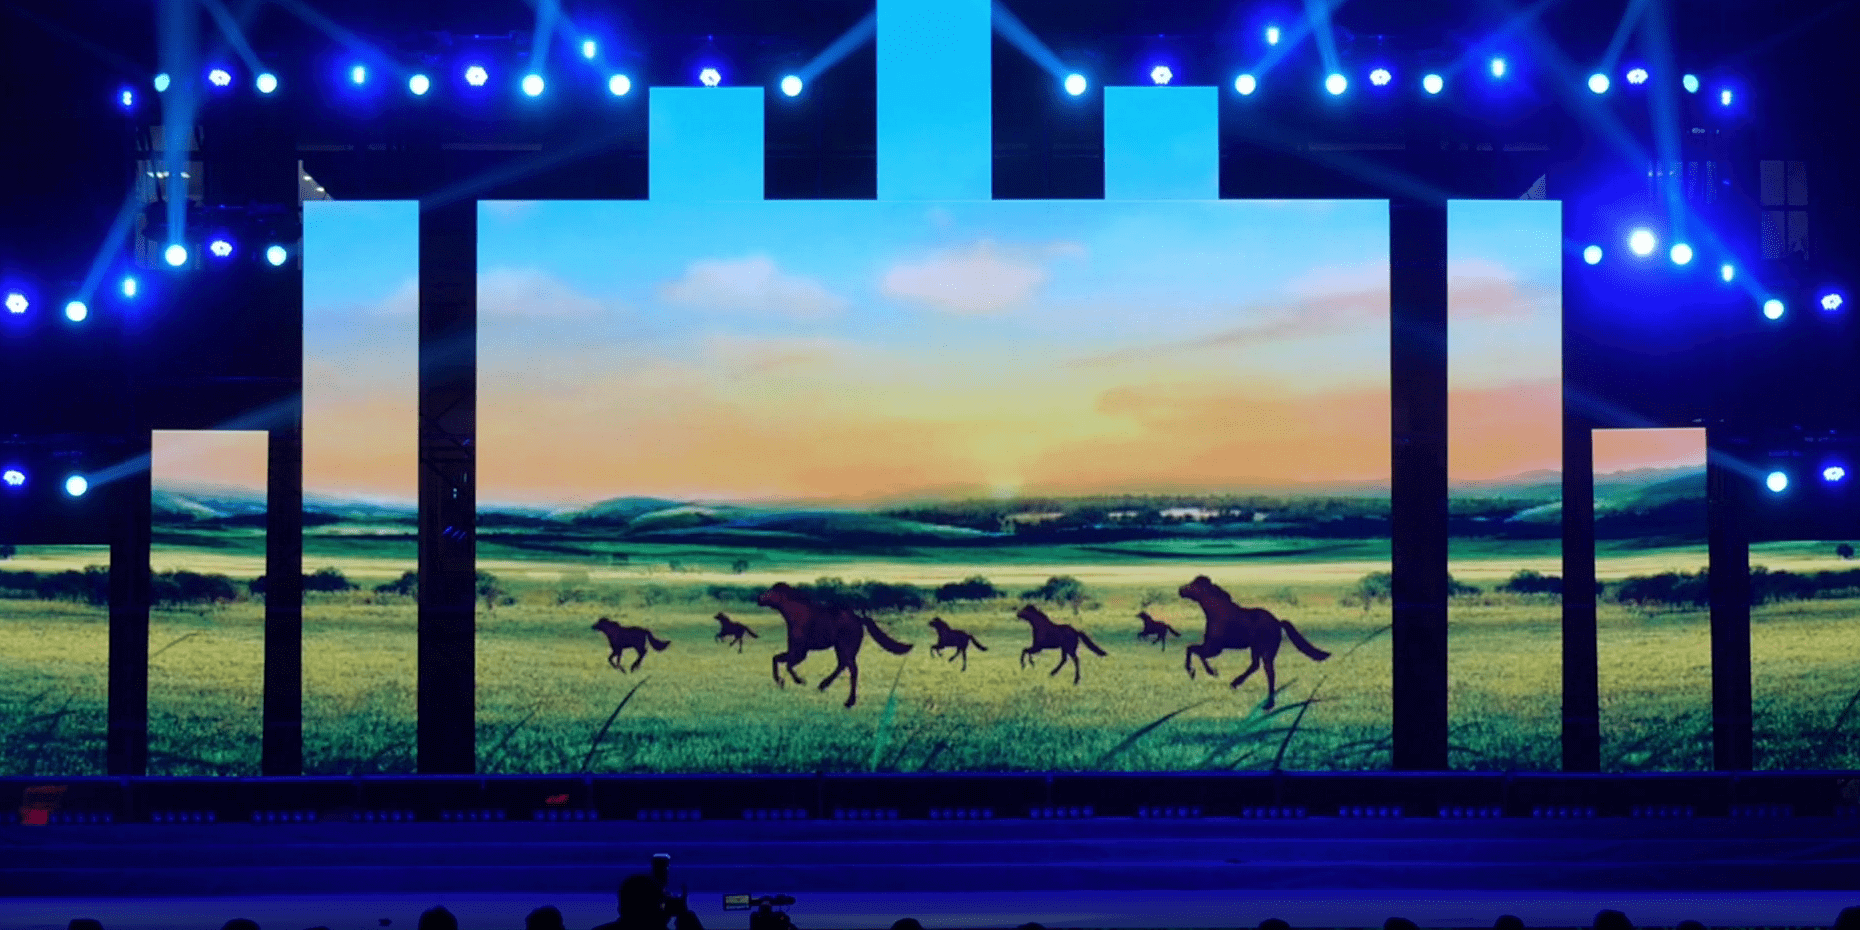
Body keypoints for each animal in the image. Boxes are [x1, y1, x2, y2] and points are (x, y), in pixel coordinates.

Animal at [755, 583, 914, 708]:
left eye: (772, 591)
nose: (759, 599)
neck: (797, 615)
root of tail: (859, 619)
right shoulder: (794, 650)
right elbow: (776, 659)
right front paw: (780, 682)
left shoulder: (801, 652)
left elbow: (787, 665)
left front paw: (800, 681)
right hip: (841, 649)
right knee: (842, 666)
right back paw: (823, 686)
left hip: (846, 649)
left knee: (852, 670)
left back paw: (849, 702)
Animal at [1177, 575, 1330, 707]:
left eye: (1194, 585)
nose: (1180, 590)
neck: (1218, 613)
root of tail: (1277, 622)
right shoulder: (1212, 647)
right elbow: (1194, 650)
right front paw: (1203, 672)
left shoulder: (1215, 648)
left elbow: (1193, 650)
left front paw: (1200, 672)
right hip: (1256, 649)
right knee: (1255, 666)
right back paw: (1235, 684)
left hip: (1267, 651)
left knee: (1269, 673)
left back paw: (1268, 704)